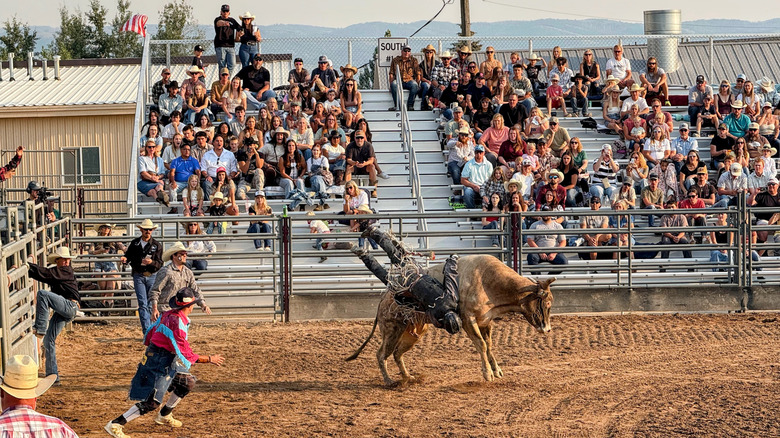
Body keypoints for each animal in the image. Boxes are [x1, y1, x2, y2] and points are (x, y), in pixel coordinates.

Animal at [346, 254, 554, 386]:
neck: (488, 281)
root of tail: (386, 296)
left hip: (413, 333)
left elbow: (489, 345)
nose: (548, 329)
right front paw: (487, 374)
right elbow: (482, 345)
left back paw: (408, 377)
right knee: (382, 354)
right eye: (547, 303)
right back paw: (389, 381)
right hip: (391, 330)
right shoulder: (468, 320)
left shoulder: (485, 321)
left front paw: (497, 370)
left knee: (397, 353)